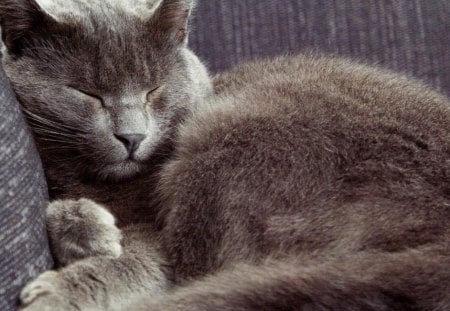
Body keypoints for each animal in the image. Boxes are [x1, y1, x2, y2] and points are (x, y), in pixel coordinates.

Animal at [0, 0, 450, 310]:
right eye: (87, 93)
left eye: (154, 90)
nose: (132, 136)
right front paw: (86, 228)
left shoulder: (157, 234)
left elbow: (142, 262)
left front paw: (59, 288)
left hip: (227, 134)